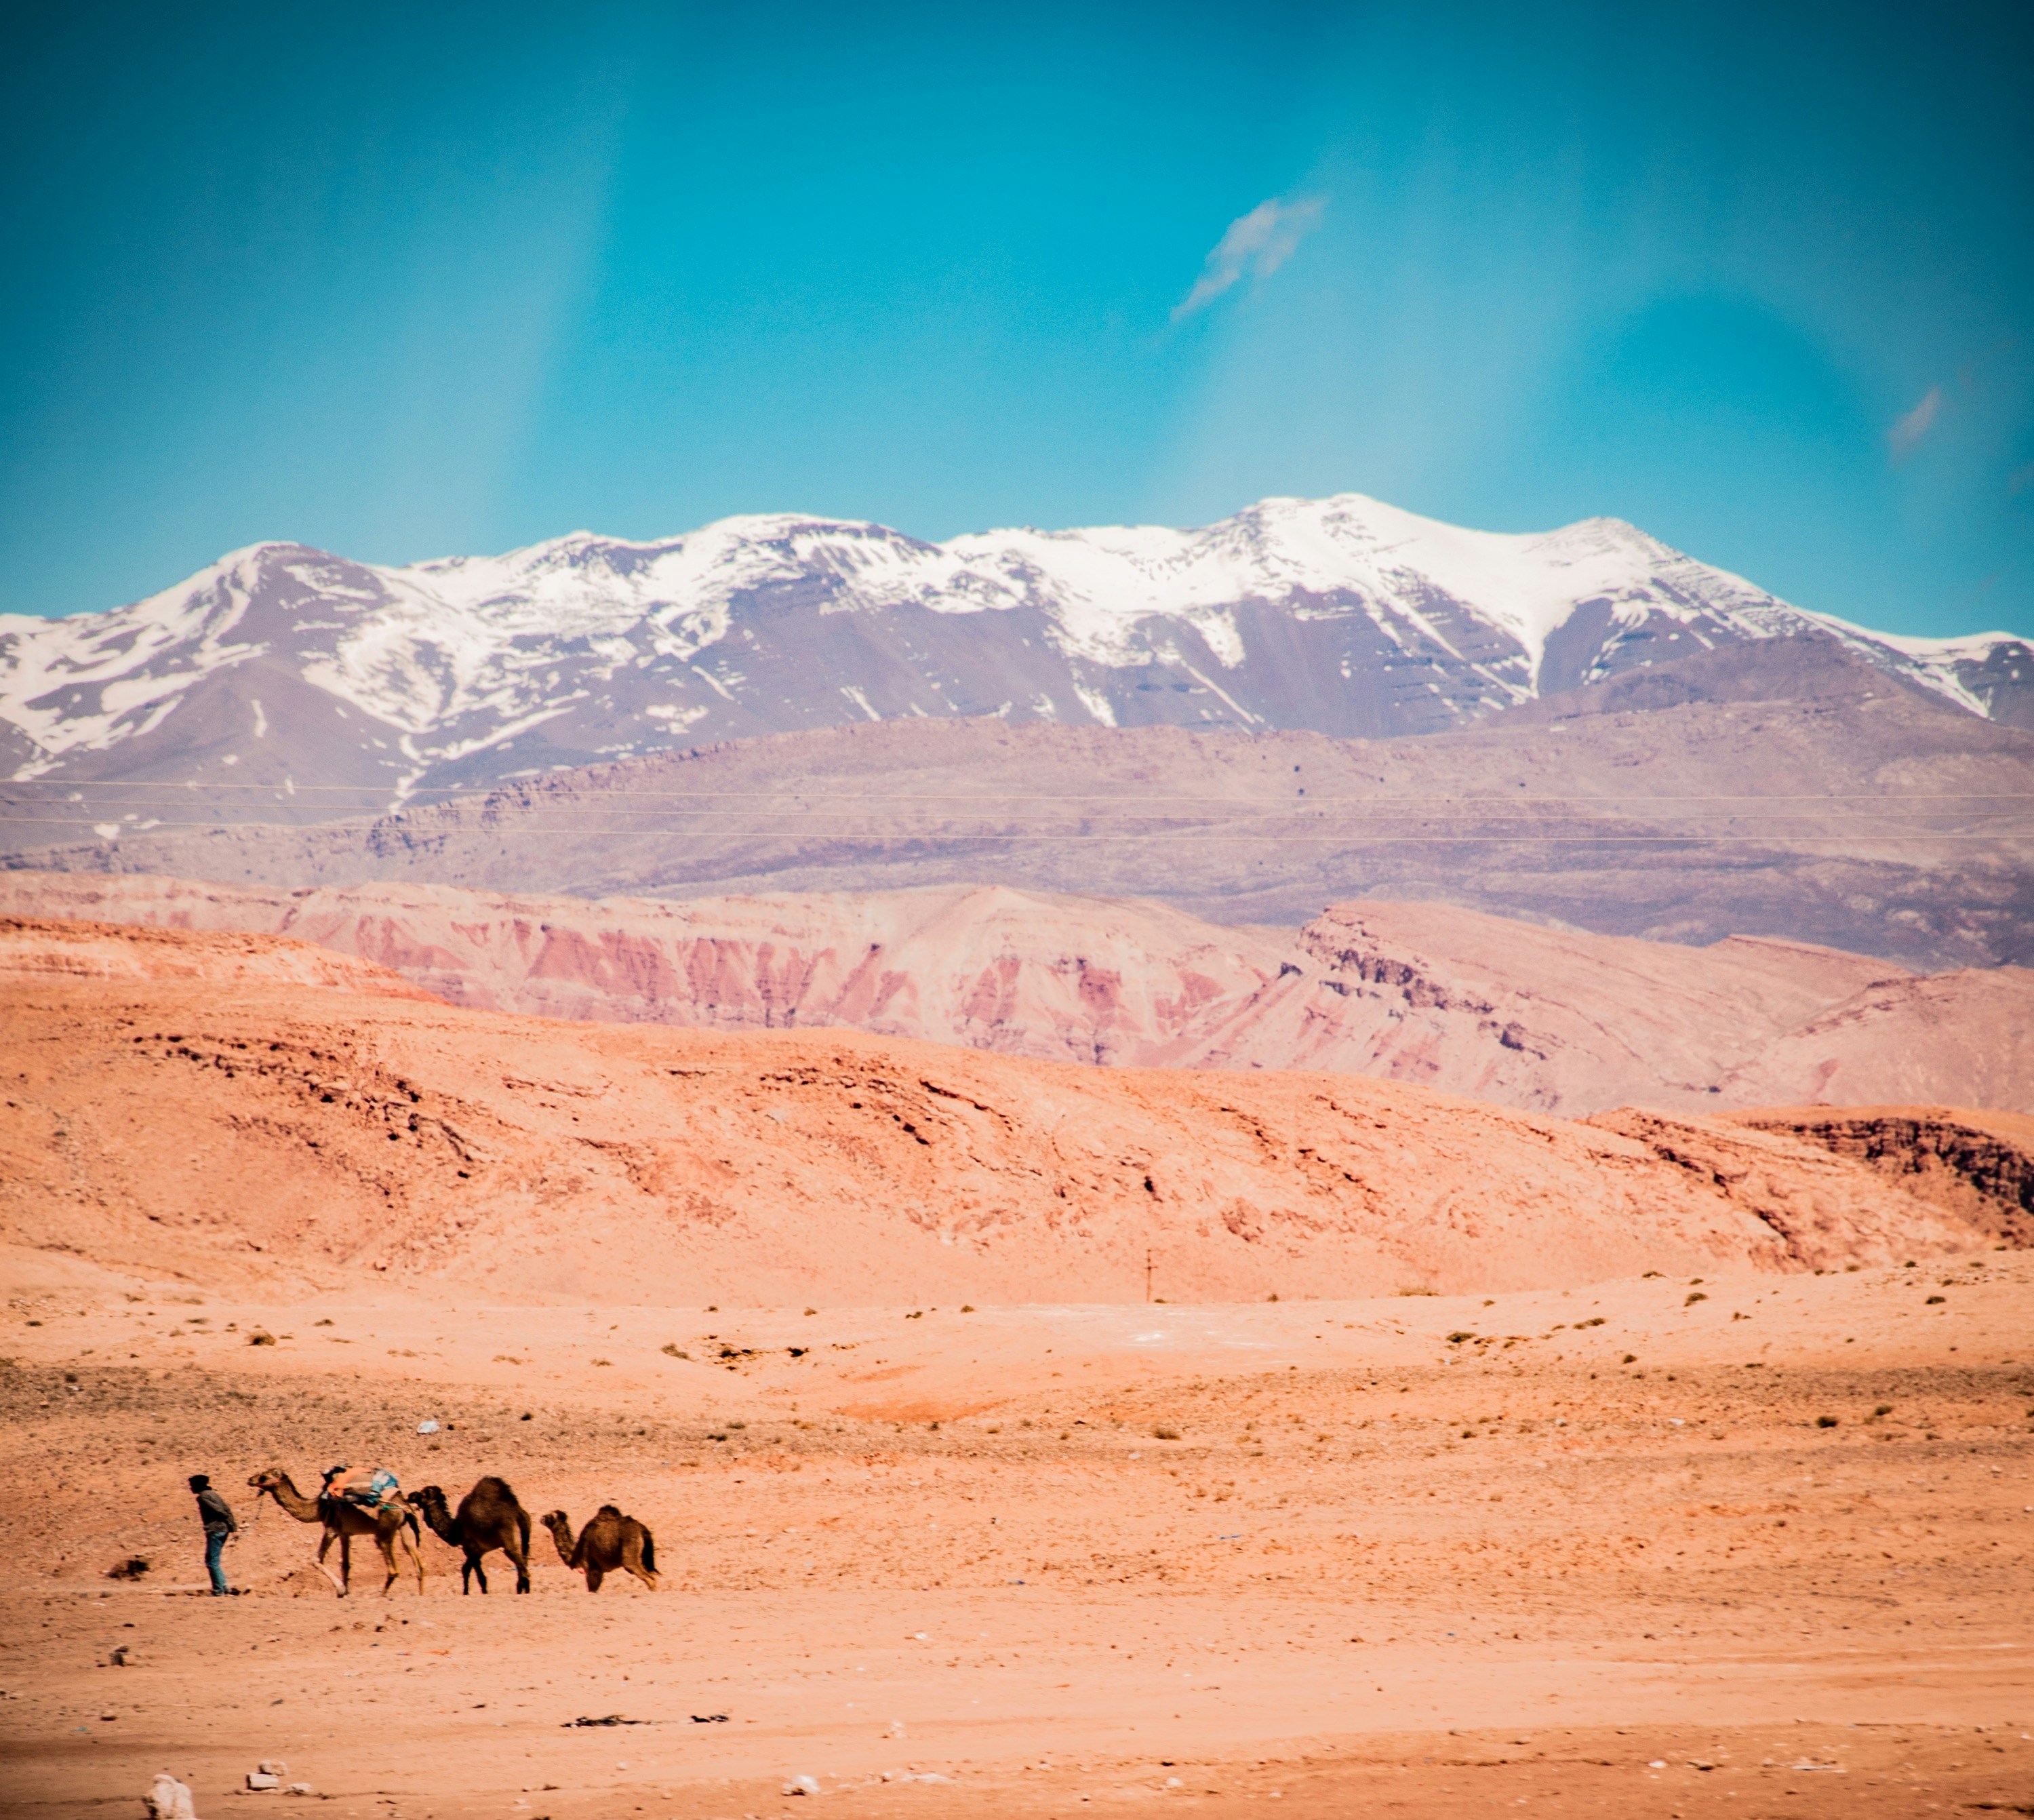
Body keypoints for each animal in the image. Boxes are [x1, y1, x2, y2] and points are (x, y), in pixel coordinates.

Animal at [247, 1468, 425, 1596]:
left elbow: (316, 1560)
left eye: (263, 1477)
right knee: (419, 1564)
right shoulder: (345, 1534)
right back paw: (421, 1594)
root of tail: (403, 1506)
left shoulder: (331, 1529)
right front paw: (346, 1592)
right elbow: (345, 1564)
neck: (318, 1508)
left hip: (384, 1532)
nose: (250, 1480)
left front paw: (340, 1590)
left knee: (394, 1570)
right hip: (406, 1529)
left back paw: (381, 1595)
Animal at [406, 1477, 533, 1594]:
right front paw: (472, 1592)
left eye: (422, 1494)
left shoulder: (471, 1549)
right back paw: (524, 1591)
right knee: (524, 1565)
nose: (410, 1495)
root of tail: (516, 1512)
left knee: (523, 1570)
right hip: (525, 1538)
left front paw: (472, 1592)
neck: (456, 1529)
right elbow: (472, 1573)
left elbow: (473, 1574)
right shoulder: (478, 1552)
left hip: (508, 1541)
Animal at [540, 1505, 660, 1593]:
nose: (541, 1518)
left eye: (549, 1517)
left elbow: (592, 1589)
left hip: (630, 1557)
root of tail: (642, 1529)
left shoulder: (592, 1569)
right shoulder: (599, 1571)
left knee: (649, 1578)